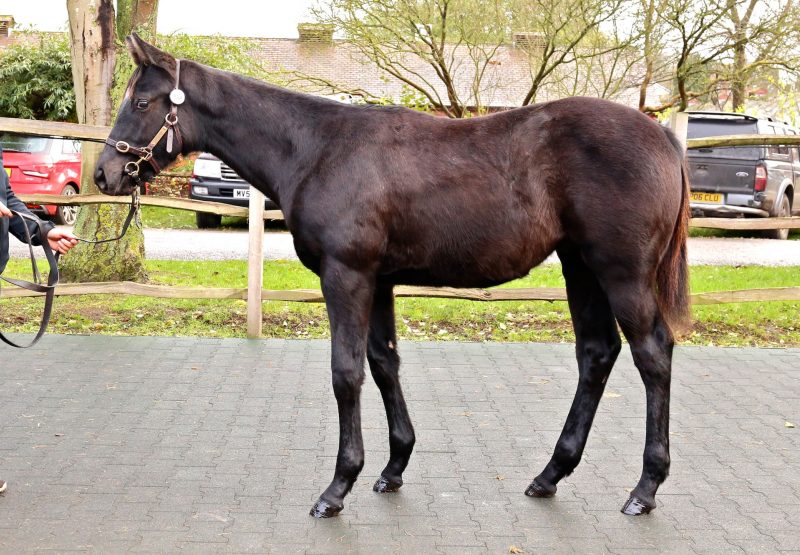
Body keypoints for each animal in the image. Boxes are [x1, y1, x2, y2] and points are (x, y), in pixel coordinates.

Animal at [95, 34, 690, 519]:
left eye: (142, 102)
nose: (104, 174)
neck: (316, 148)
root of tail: (662, 136)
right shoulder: (378, 281)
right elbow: (383, 364)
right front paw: (392, 467)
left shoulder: (346, 276)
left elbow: (346, 373)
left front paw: (337, 487)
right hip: (580, 267)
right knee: (596, 354)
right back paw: (549, 475)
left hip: (621, 273)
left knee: (653, 354)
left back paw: (645, 488)